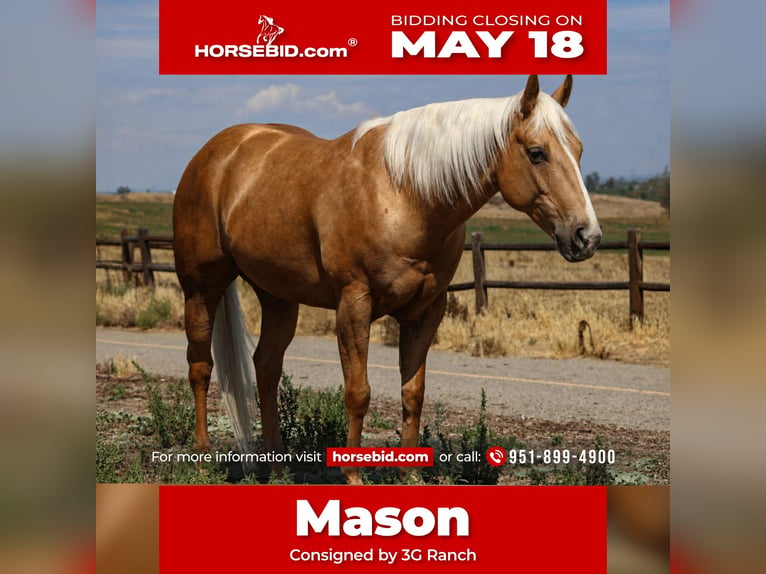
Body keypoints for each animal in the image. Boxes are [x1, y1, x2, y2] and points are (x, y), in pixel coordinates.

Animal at [172, 75, 601, 484]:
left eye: (580, 150)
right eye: (536, 152)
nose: (587, 236)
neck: (405, 194)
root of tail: (215, 153)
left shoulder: (427, 310)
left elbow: (413, 393)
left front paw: (410, 475)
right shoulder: (353, 305)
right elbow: (358, 393)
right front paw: (353, 475)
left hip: (278, 296)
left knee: (266, 367)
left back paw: (278, 469)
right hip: (201, 286)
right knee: (201, 366)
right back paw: (202, 460)